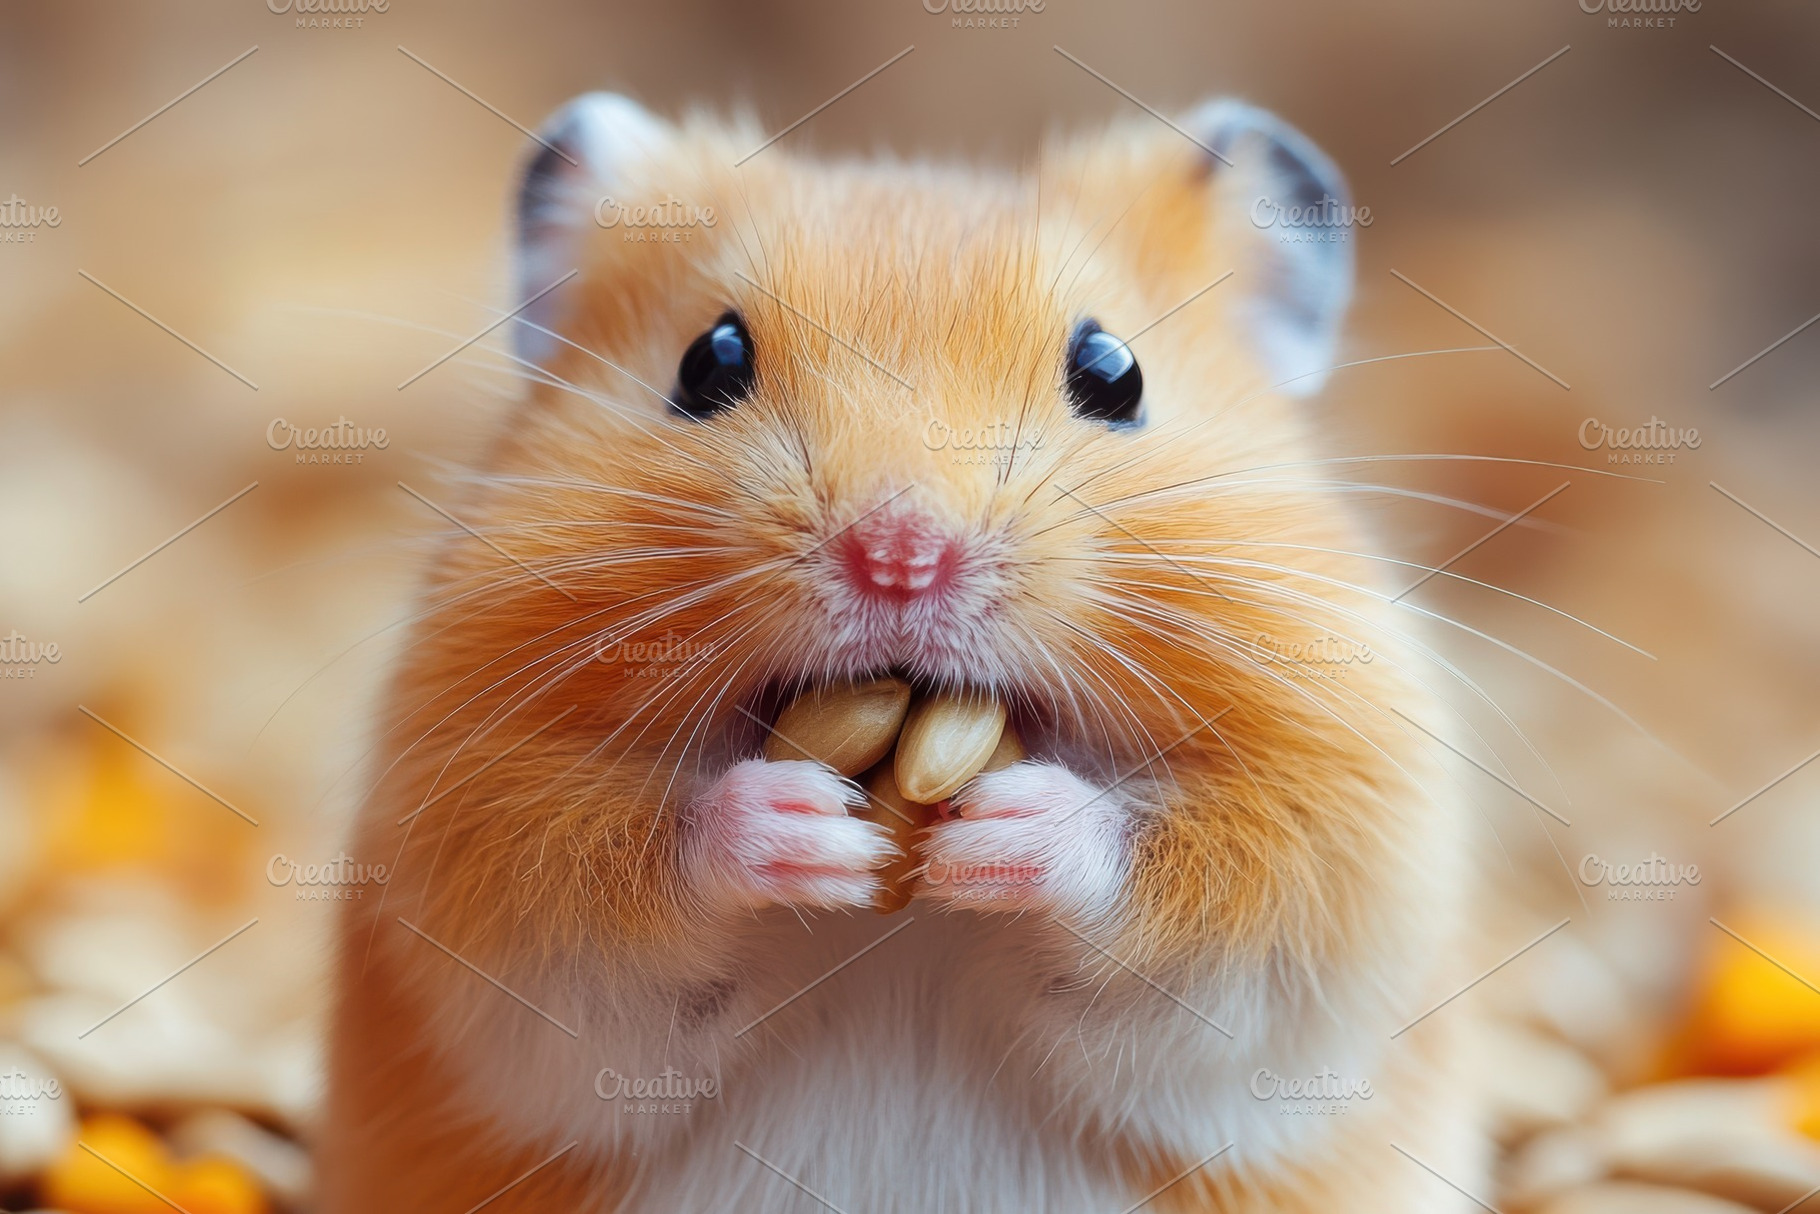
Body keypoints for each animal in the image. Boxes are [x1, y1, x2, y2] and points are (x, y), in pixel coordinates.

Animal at [321, 92, 1485, 1213]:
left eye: (1115, 374)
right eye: (708, 362)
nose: (899, 556)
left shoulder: (1334, 851)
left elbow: (1192, 913)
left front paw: (1003, 832)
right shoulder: (480, 841)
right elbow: (617, 905)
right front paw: (806, 827)